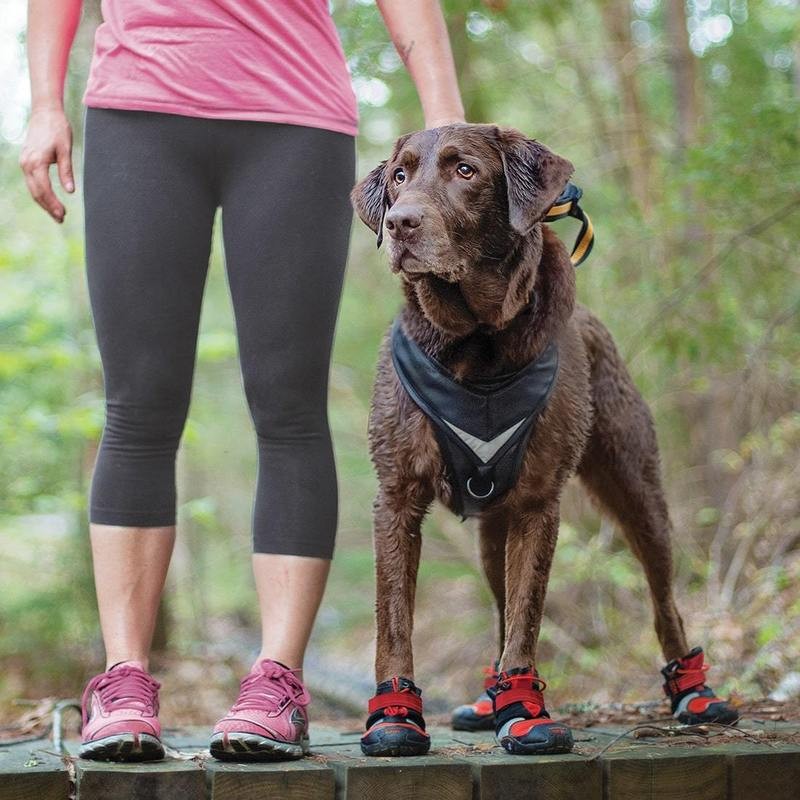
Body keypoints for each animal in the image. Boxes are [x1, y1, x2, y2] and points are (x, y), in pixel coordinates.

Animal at [350, 125, 736, 756]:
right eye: (400, 175)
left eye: (465, 171)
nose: (401, 222)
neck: (473, 343)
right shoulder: (397, 496)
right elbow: (396, 618)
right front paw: (395, 716)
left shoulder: (537, 501)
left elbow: (528, 611)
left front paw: (525, 710)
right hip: (491, 529)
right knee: (499, 603)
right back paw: (490, 696)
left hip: (637, 489)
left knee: (664, 600)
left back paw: (695, 693)